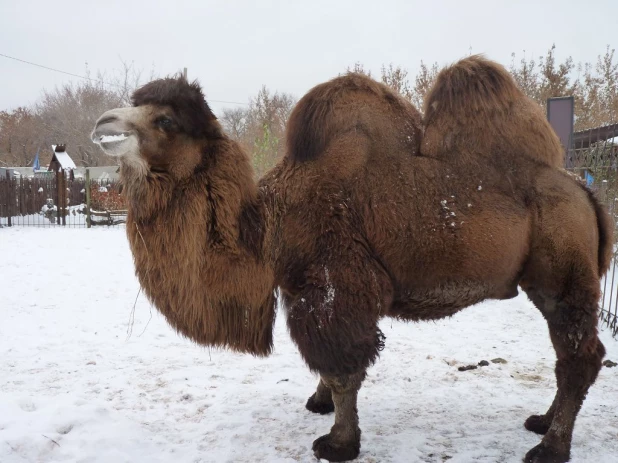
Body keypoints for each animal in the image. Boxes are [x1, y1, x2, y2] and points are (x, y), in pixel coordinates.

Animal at [91, 56, 612, 462]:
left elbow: (344, 368)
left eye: (166, 120)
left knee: (580, 356)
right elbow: (325, 368)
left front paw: (338, 443)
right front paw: (318, 403)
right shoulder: (303, 289)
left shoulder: (335, 284)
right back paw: (542, 422)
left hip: (564, 274)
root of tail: (586, 191)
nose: (102, 125)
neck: (268, 225)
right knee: (568, 353)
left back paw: (550, 447)